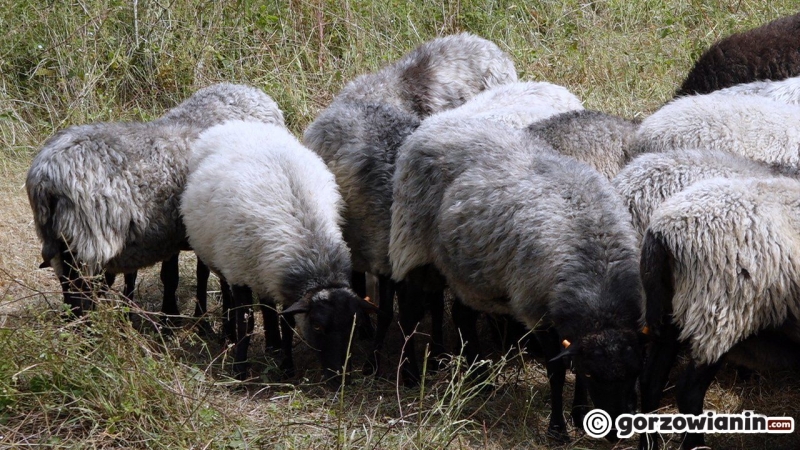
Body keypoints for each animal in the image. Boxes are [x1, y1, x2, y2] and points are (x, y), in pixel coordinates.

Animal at [26, 82, 282, 318]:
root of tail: (44, 178)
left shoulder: (174, 233)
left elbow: (175, 275)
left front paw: (175, 315)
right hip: (88, 240)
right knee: (81, 290)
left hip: (61, 242)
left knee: (72, 286)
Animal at [181, 120, 376, 384]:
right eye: (317, 326)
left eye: (353, 326)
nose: (338, 378)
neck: (312, 250)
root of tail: (237, 123)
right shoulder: (239, 274)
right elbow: (247, 323)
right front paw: (239, 371)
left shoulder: (279, 278)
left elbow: (287, 324)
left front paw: (286, 367)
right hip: (211, 245)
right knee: (212, 278)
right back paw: (224, 331)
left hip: (260, 266)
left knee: (265, 301)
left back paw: (272, 343)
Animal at [392, 119, 644, 440]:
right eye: (592, 373)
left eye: (635, 373)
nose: (613, 434)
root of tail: (433, 124)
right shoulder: (537, 311)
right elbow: (557, 372)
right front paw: (557, 428)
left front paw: (579, 414)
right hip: (414, 245)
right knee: (409, 314)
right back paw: (411, 375)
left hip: (471, 272)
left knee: (462, 316)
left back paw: (481, 379)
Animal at [640, 176, 800, 450]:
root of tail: (661, 232)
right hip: (717, 315)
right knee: (688, 392)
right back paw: (696, 445)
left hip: (669, 312)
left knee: (651, 381)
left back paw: (648, 444)